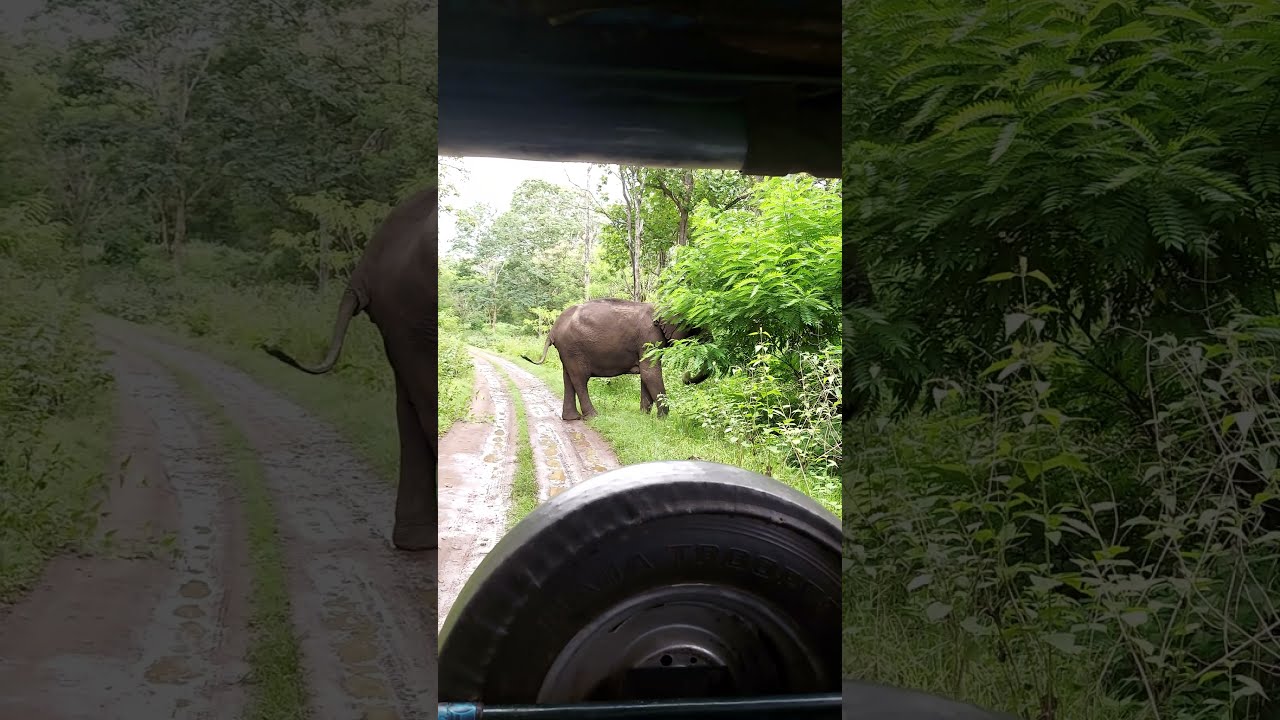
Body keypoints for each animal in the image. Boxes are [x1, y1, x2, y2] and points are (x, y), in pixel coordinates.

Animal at [517, 297, 711, 420]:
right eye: (696, 325)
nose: (686, 375)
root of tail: (552, 330)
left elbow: (646, 375)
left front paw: (644, 417)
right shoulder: (648, 337)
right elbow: (651, 373)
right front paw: (663, 420)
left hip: (567, 351)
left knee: (568, 378)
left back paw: (572, 418)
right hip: (574, 349)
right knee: (580, 379)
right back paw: (593, 417)